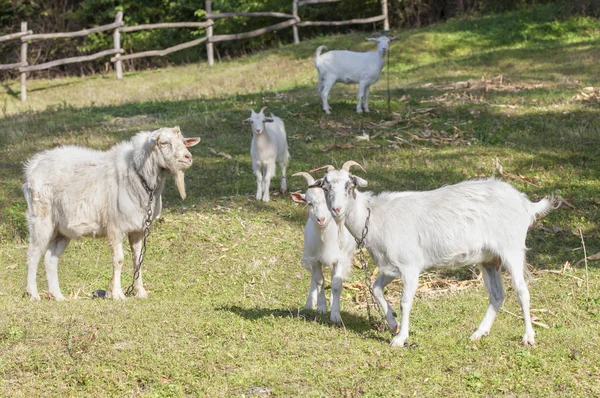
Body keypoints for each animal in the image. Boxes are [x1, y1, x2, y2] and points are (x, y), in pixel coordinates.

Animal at [23, 127, 202, 302]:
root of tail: (33, 167)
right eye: (164, 143)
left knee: (50, 259)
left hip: (62, 230)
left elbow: (137, 259)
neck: (138, 176)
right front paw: (118, 294)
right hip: (41, 218)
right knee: (33, 253)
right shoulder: (116, 227)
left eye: (183, 141)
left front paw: (140, 292)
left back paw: (58, 296)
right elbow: (119, 260)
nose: (188, 157)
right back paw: (34, 294)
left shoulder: (138, 229)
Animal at [290, 169, 356, 324]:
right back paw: (310, 303)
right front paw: (321, 308)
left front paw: (335, 315)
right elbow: (319, 281)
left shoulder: (340, 259)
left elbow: (336, 284)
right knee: (313, 279)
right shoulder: (315, 259)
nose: (321, 219)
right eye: (309, 203)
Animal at [312, 160, 556, 346]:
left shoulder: (410, 266)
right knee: (497, 294)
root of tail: (526, 203)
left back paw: (528, 337)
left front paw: (400, 339)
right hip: (489, 259)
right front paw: (393, 323)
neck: (374, 217)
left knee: (522, 291)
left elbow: (405, 302)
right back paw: (478, 333)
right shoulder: (390, 267)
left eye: (349, 186)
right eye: (325, 187)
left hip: (511, 249)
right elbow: (375, 289)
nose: (337, 210)